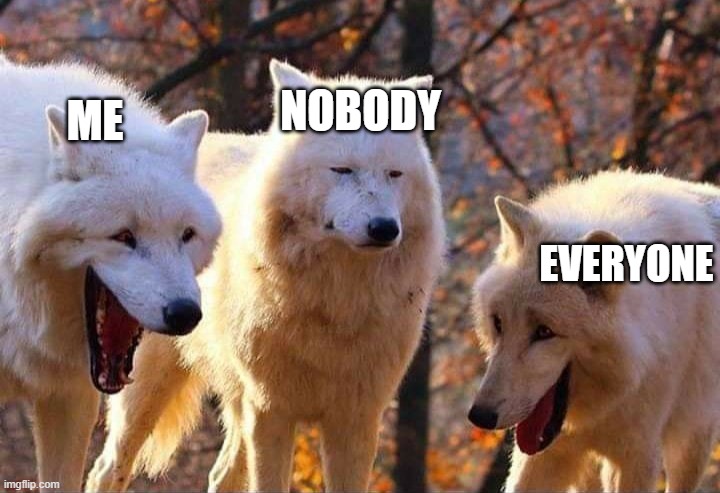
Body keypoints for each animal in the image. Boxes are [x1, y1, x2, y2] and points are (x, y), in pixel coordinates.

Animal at [86, 59, 446, 492]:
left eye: (395, 174)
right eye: (342, 170)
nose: (385, 229)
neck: (336, 302)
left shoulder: (357, 417)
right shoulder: (271, 409)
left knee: (221, 475)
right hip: (148, 387)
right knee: (107, 469)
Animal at [468, 170, 720, 492]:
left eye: (544, 332)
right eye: (499, 323)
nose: (480, 416)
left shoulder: (637, 456)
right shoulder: (546, 453)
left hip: (691, 442)